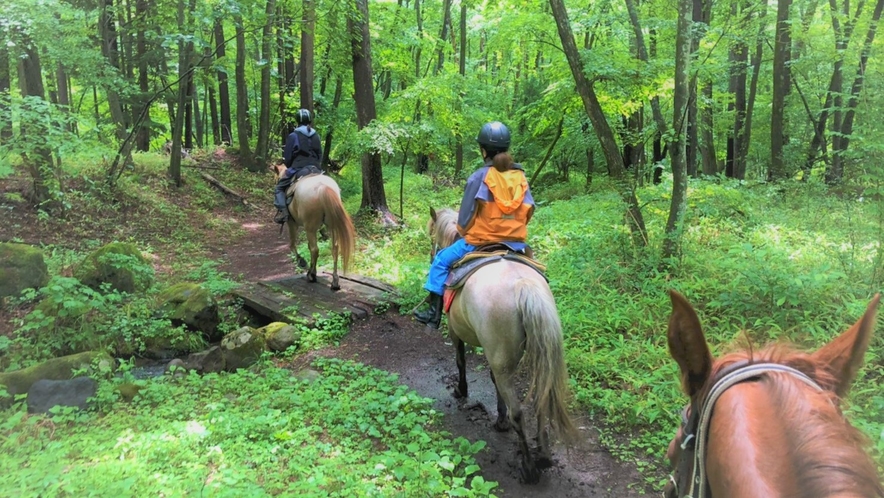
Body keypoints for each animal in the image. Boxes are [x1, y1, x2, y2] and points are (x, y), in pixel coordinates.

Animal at [430, 208, 580, 484]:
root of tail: (523, 286)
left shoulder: (456, 332)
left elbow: (460, 360)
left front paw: (461, 390)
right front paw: (499, 418)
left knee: (518, 411)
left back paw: (529, 468)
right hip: (535, 354)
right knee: (540, 400)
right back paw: (543, 455)